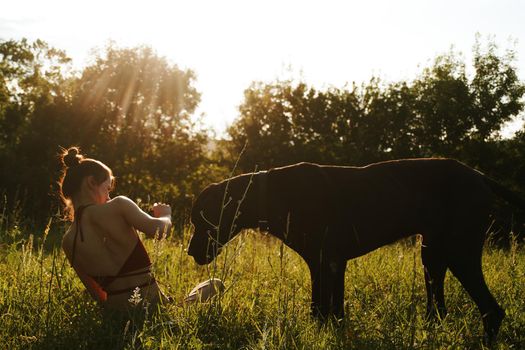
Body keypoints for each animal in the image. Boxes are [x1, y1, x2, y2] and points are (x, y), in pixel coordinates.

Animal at [186, 159, 520, 342]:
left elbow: (321, 310)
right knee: (439, 309)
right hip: (432, 255)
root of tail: (479, 177)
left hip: (459, 253)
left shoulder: (325, 261)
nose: (190, 252)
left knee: (492, 310)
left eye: (200, 220)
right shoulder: (330, 263)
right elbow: (331, 311)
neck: (271, 194)